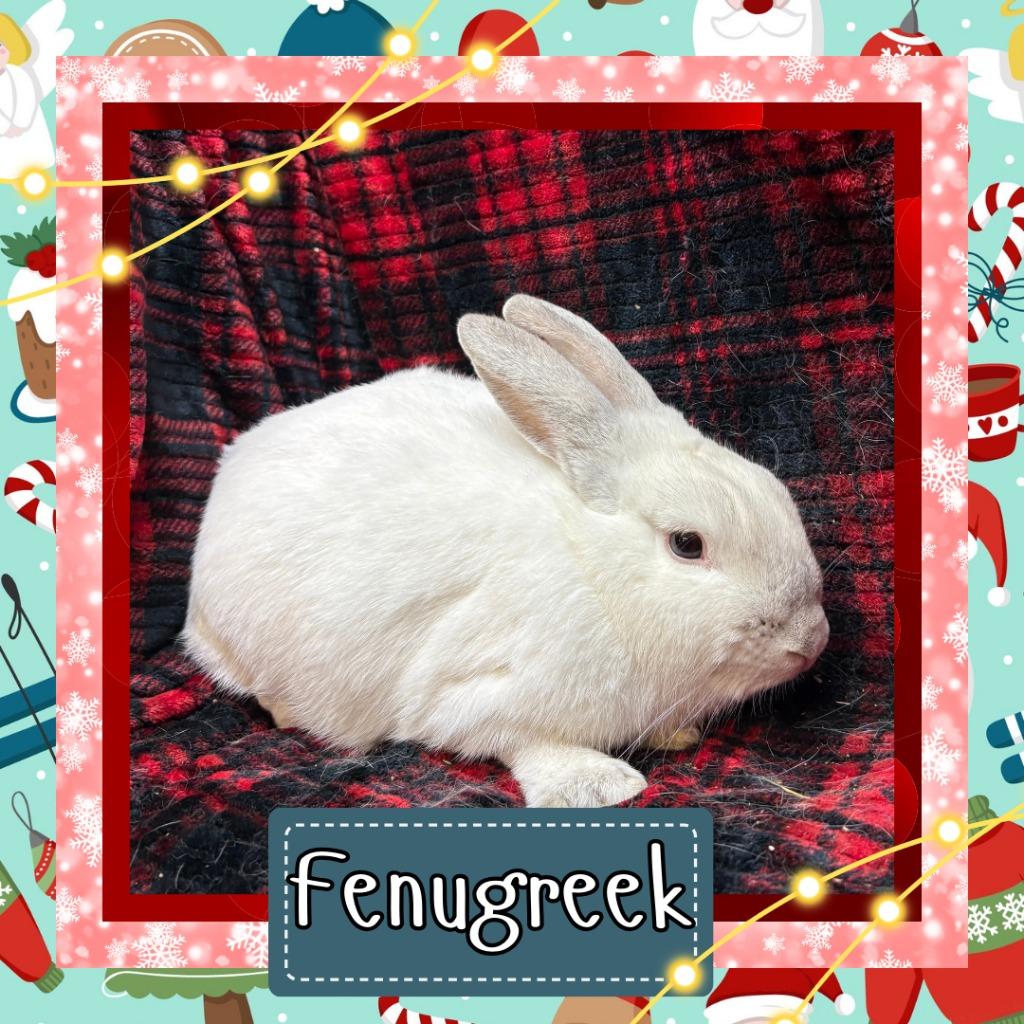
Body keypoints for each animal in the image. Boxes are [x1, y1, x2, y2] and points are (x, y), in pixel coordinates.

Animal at [183, 295, 829, 808]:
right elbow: (524, 741)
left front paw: (676, 737)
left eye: (774, 486)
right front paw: (597, 785)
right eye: (686, 544)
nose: (812, 641)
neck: (595, 569)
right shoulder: (477, 696)